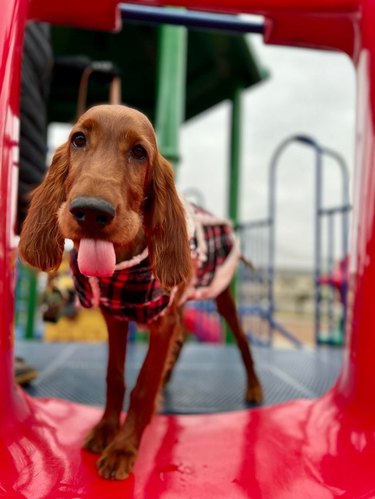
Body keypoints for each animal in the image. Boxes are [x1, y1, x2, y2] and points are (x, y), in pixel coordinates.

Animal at [19, 104, 262, 480]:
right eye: (78, 139)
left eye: (139, 152)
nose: (91, 211)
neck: (124, 264)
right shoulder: (116, 318)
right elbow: (116, 378)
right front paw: (105, 430)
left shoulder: (163, 321)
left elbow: (144, 385)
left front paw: (123, 448)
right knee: (179, 346)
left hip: (221, 297)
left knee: (242, 343)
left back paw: (253, 387)